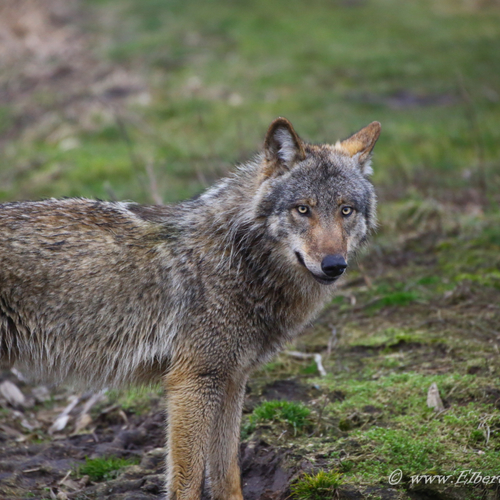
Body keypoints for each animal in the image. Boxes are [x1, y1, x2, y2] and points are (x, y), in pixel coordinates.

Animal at [0, 118, 378, 500]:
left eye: (345, 210)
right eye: (303, 209)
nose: (334, 265)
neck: (239, 258)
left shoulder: (232, 381)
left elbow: (227, 472)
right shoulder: (192, 382)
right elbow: (189, 481)